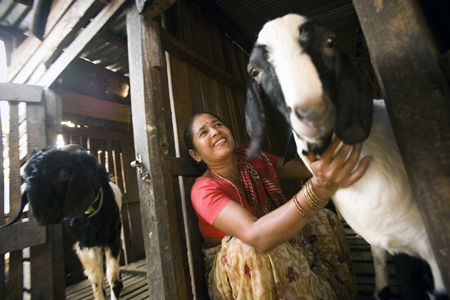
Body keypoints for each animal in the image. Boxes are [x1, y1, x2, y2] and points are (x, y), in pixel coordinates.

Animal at [3, 144, 123, 298]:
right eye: (26, 179)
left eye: (64, 175)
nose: (39, 216)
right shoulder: (84, 243)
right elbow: (96, 277)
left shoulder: (113, 236)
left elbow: (112, 275)